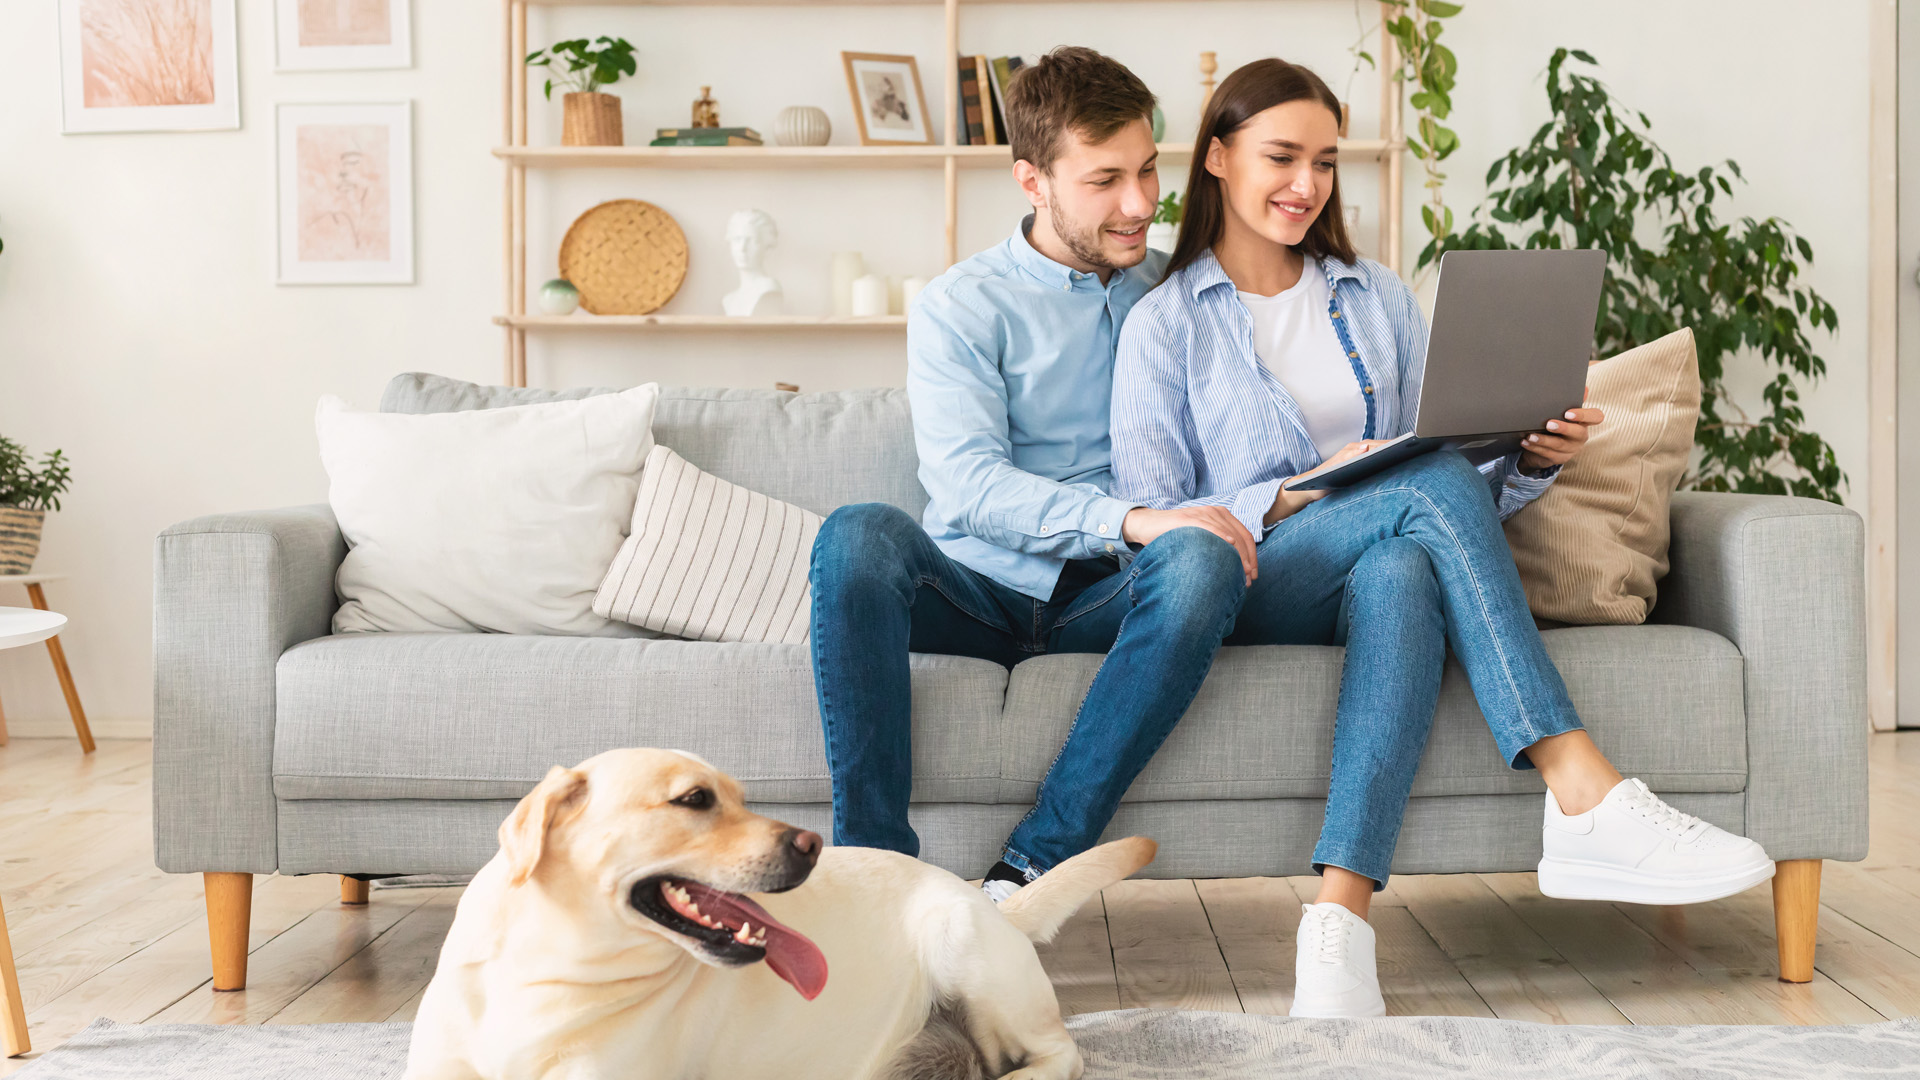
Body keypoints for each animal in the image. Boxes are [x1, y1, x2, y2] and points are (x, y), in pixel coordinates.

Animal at [405, 749, 1152, 1076]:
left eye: (740, 795)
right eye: (694, 800)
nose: (813, 842)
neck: (550, 973)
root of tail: (984, 901)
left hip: (963, 950)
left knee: (1059, 1057)